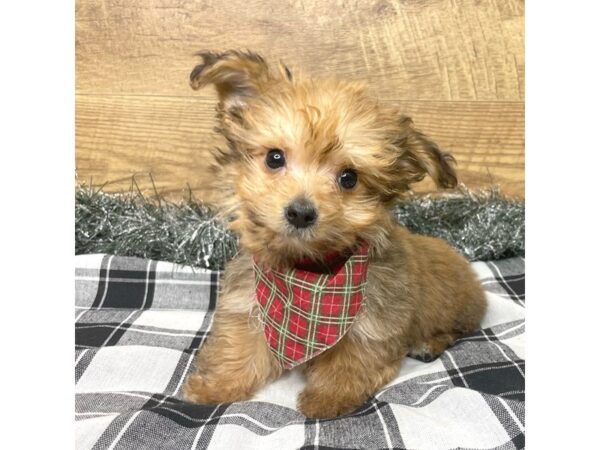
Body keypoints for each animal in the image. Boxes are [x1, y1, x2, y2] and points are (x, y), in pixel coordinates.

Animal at [183, 51, 488, 418]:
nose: (301, 212)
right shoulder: (248, 302)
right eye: (274, 158)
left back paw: (428, 343)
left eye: (349, 178)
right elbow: (239, 344)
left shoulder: (375, 323)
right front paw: (215, 385)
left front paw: (327, 398)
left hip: (459, 310)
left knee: (457, 330)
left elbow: (350, 360)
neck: (308, 273)